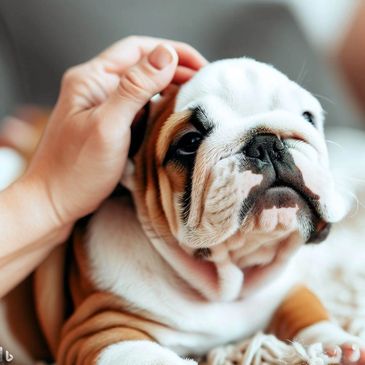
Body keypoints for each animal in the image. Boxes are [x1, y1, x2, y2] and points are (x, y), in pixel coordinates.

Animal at [32, 58, 364, 362]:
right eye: (190, 141)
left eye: (308, 118)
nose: (267, 143)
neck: (229, 281)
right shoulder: (103, 329)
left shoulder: (287, 290)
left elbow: (310, 314)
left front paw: (336, 347)